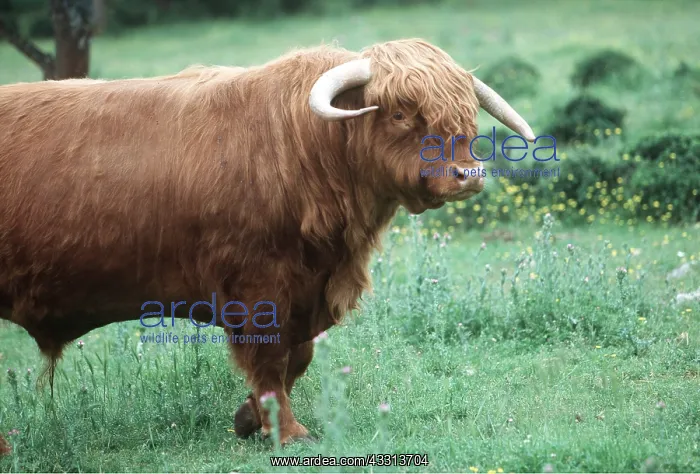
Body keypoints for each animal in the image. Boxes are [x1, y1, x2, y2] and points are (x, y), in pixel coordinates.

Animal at [0, 38, 534, 446]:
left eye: (465, 111)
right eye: (401, 113)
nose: (467, 175)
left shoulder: (304, 291)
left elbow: (298, 357)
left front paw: (247, 419)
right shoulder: (257, 286)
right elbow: (271, 358)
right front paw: (287, 432)